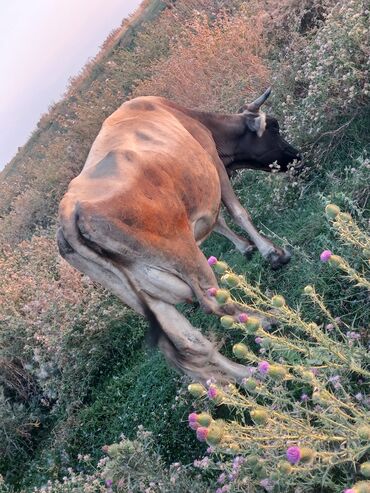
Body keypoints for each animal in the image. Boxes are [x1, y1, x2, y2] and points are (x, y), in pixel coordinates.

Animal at [57, 88, 300, 380]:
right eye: (274, 127)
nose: (297, 155)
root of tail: (70, 210)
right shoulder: (213, 162)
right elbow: (237, 212)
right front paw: (272, 253)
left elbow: (218, 221)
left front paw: (245, 247)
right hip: (184, 256)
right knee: (215, 303)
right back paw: (263, 320)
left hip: (141, 294)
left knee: (188, 341)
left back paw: (242, 375)